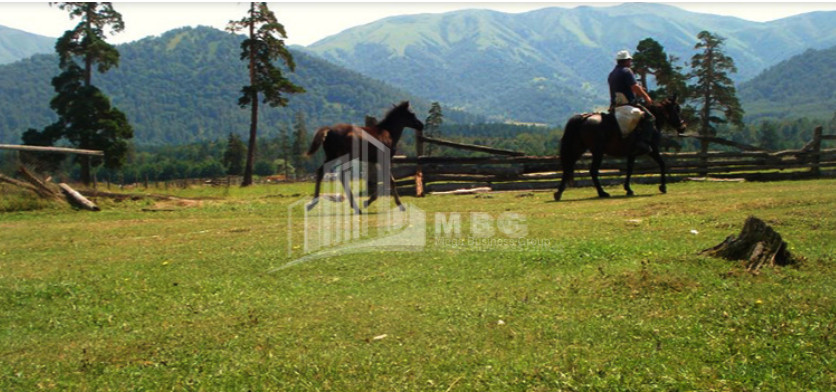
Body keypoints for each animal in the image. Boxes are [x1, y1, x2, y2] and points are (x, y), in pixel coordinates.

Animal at [556, 94, 684, 201]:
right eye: (677, 109)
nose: (683, 126)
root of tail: (584, 118)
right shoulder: (653, 150)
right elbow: (662, 164)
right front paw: (663, 187)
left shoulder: (632, 153)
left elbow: (629, 169)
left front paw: (628, 189)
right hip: (598, 152)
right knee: (593, 171)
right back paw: (602, 193)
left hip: (579, 149)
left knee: (568, 167)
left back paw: (558, 193)